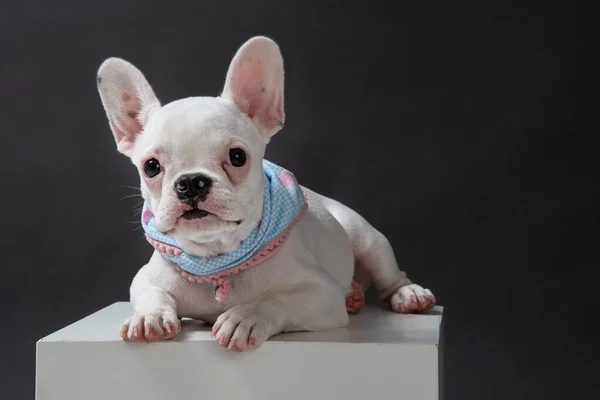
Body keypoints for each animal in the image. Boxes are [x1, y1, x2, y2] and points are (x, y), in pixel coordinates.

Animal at [97, 36, 436, 352]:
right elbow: (152, 293)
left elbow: (277, 299)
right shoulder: (146, 278)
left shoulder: (322, 295)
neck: (218, 260)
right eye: (151, 167)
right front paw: (149, 317)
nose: (192, 182)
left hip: (367, 240)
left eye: (237, 157)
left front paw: (246, 317)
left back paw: (408, 295)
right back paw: (355, 296)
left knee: (391, 276)